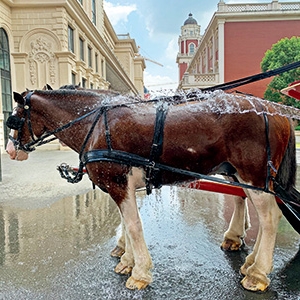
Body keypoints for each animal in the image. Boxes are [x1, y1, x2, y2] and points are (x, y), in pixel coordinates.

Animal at [4, 88, 298, 290]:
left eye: (14, 120)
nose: (9, 150)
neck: (96, 124)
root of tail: (275, 111)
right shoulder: (122, 187)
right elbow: (126, 223)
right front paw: (127, 261)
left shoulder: (118, 184)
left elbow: (133, 226)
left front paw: (139, 272)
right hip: (245, 176)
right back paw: (250, 263)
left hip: (254, 177)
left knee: (270, 218)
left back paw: (258, 273)